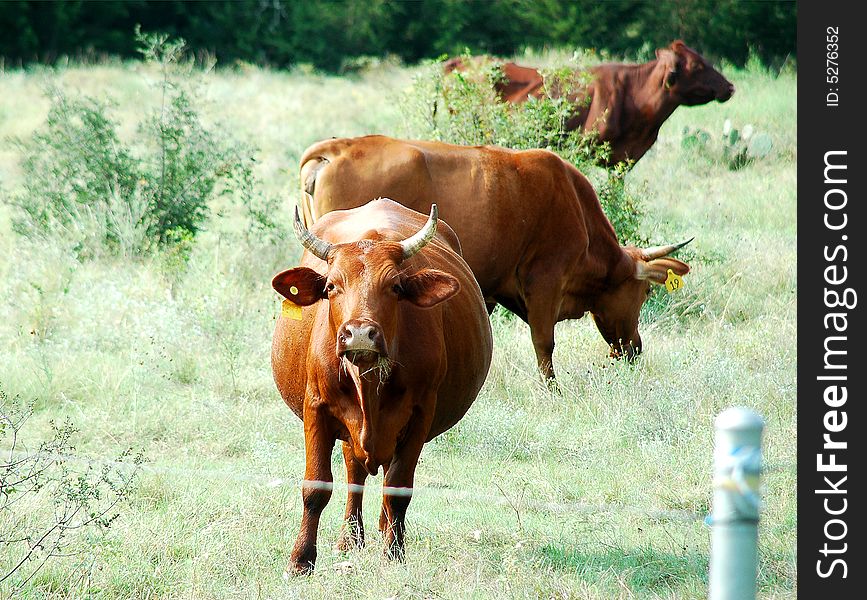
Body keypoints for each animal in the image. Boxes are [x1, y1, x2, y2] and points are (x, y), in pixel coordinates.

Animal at [272, 199, 492, 576]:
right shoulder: (316, 407)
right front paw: (301, 560)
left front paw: (394, 553)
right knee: (354, 471)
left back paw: (383, 529)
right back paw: (350, 539)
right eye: (331, 286)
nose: (359, 333)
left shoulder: (420, 415)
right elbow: (316, 486)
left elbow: (398, 488)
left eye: (395, 287)